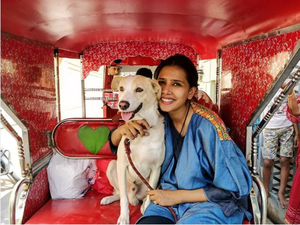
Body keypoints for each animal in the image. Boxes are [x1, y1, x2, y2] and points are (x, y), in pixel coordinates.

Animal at [102, 74, 165, 224]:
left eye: (139, 89)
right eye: (121, 89)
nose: (122, 105)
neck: (141, 130)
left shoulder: (157, 168)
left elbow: (149, 198)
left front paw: (146, 210)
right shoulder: (121, 165)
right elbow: (123, 199)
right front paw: (124, 217)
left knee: (144, 197)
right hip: (113, 167)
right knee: (121, 193)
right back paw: (111, 198)